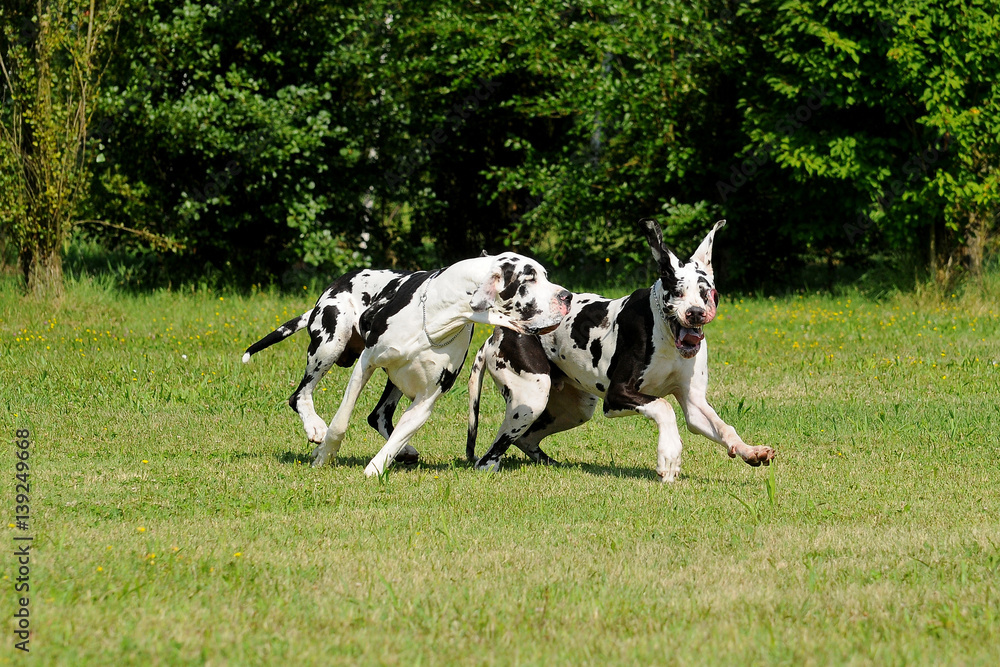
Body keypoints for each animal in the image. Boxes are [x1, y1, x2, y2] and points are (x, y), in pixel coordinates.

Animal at [244, 253, 572, 478]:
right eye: (529, 278)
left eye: (545, 275)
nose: (567, 295)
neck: (438, 317)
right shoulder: (364, 366)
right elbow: (340, 423)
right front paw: (325, 453)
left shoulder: (425, 401)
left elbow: (396, 438)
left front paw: (376, 469)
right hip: (329, 342)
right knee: (300, 394)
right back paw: (314, 426)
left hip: (396, 381)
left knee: (378, 416)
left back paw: (403, 451)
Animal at [464, 222, 776, 482]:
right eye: (676, 290)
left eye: (705, 291)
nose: (696, 313)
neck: (663, 332)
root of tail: (499, 330)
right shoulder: (617, 396)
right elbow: (664, 408)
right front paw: (669, 456)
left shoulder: (695, 404)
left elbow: (724, 427)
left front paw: (749, 450)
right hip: (531, 398)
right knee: (490, 455)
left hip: (575, 410)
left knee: (525, 440)